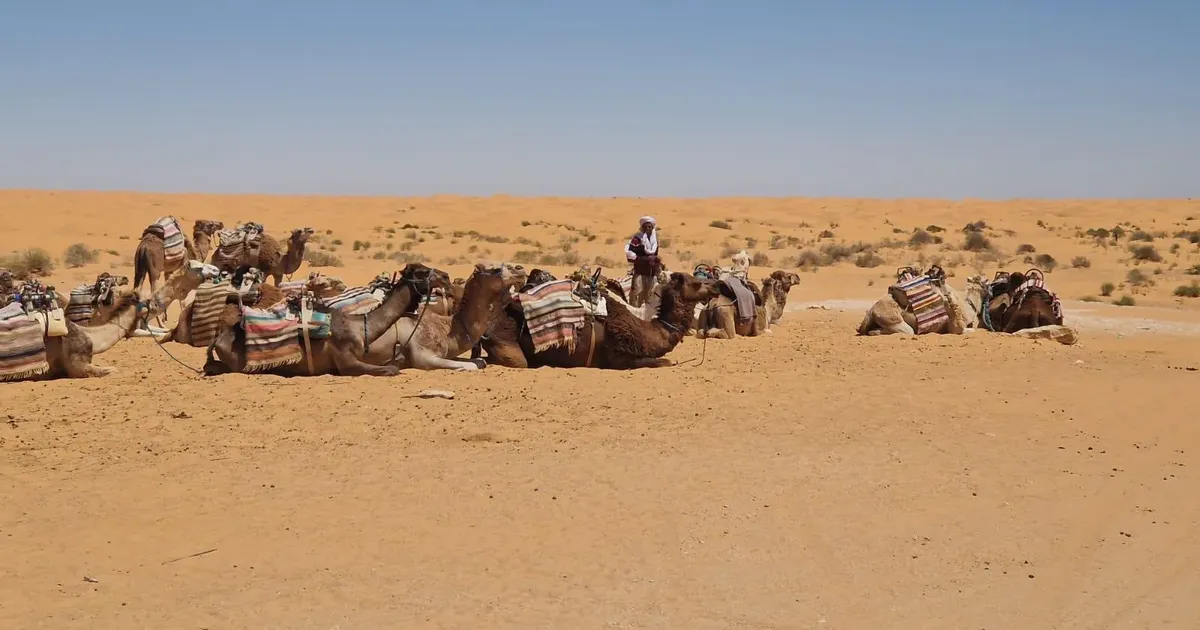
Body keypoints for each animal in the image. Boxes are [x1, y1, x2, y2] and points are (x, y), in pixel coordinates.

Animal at [204, 262, 451, 377]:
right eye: (421, 272)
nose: (446, 276)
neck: (361, 327)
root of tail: (218, 339)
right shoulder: (346, 360)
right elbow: (391, 369)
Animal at [369, 262, 526, 371]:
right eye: (495, 269)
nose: (521, 269)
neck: (445, 328)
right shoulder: (423, 357)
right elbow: (472, 365)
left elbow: (480, 361)